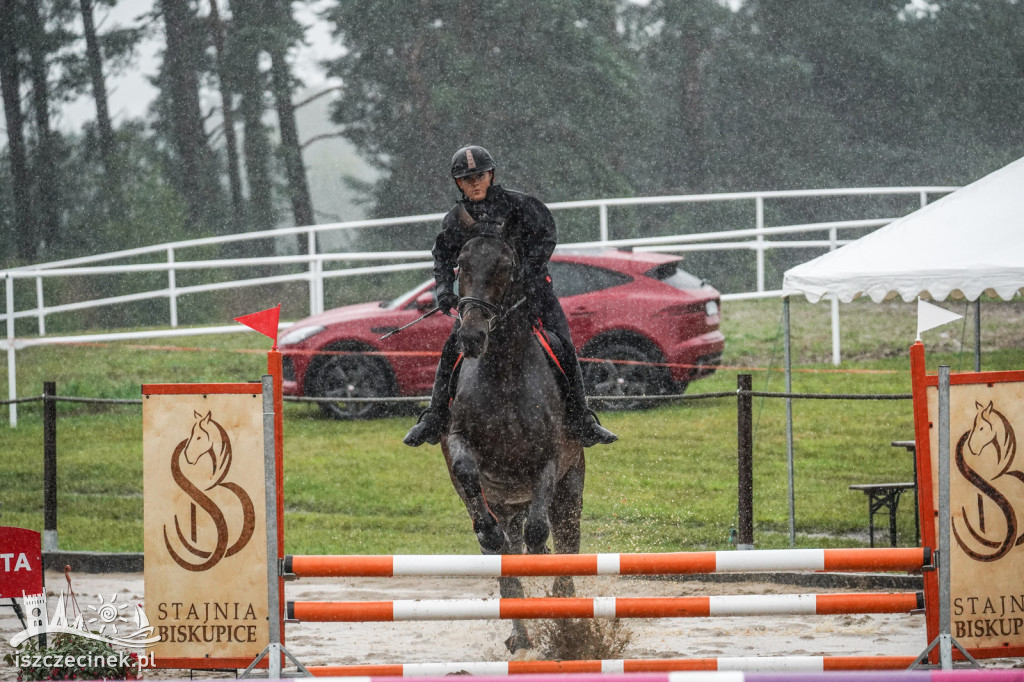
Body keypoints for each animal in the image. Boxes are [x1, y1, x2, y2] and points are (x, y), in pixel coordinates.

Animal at [440, 231, 585, 651]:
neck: (502, 371)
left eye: (505, 267)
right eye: (461, 266)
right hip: (505, 503)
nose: (471, 336)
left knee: (566, 542)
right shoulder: (458, 441)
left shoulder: (550, 459)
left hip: (569, 488)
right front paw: (487, 532)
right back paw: (520, 633)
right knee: (506, 550)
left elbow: (539, 533)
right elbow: (466, 469)